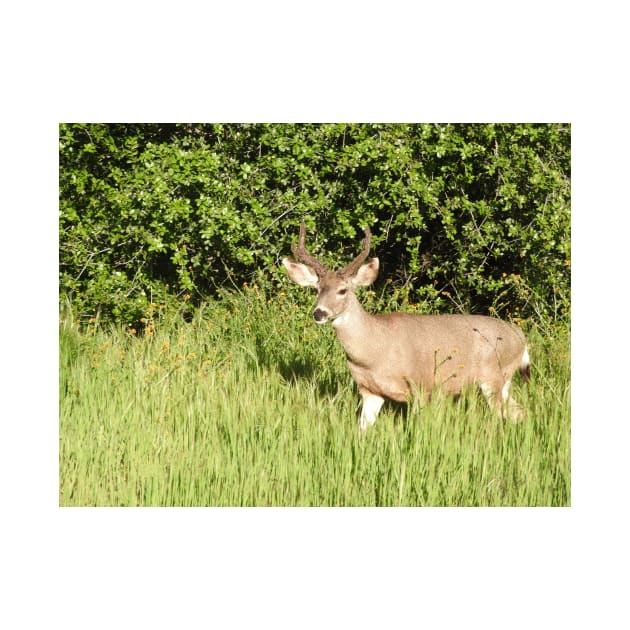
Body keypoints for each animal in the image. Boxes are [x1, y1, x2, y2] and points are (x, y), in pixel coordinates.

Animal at [284, 221, 532, 430]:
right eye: (317, 289)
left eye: (342, 290)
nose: (319, 313)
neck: (374, 351)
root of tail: (521, 337)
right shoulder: (369, 391)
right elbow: (362, 431)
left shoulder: (422, 385)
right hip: (503, 380)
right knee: (519, 412)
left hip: (493, 376)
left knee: (501, 416)